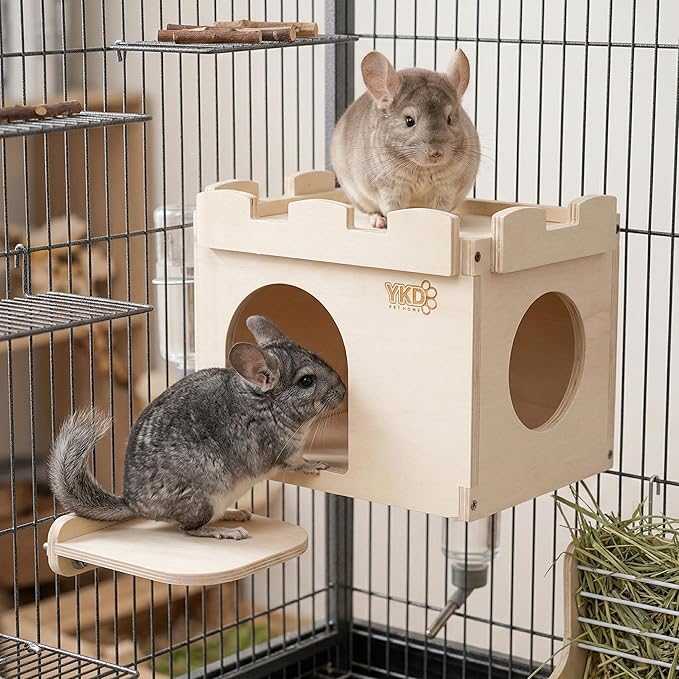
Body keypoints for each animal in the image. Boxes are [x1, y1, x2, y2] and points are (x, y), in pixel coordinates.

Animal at [47, 316, 346, 540]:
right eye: (306, 381)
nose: (343, 391)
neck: (266, 404)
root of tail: (132, 502)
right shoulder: (279, 449)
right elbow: (296, 463)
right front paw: (315, 465)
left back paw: (236, 513)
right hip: (203, 496)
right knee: (188, 528)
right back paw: (228, 531)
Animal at [331, 50, 480, 228]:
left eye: (450, 119)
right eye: (409, 121)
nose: (436, 153)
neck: (423, 170)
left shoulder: (446, 189)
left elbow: (439, 212)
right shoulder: (389, 189)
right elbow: (394, 212)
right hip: (355, 195)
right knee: (371, 211)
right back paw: (378, 221)